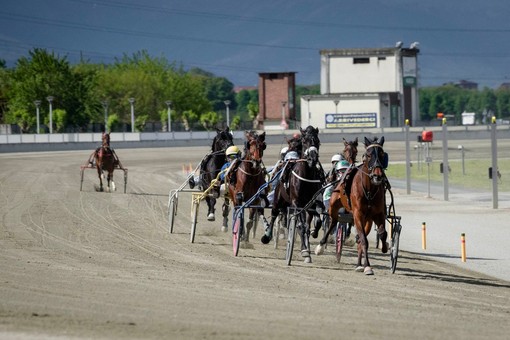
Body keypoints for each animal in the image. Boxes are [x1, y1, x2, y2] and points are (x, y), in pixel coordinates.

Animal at [262, 126, 322, 264]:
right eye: (304, 141)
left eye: (317, 141)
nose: (313, 159)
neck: (306, 177)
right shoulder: (296, 203)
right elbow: (300, 226)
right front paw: (305, 251)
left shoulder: (311, 203)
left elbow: (317, 221)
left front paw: (314, 233)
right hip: (278, 199)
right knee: (274, 214)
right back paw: (267, 237)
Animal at [320, 137, 388, 274]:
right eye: (368, 155)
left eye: (382, 154)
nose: (377, 175)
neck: (369, 190)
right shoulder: (357, 214)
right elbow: (364, 240)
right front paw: (368, 266)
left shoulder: (378, 214)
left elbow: (382, 233)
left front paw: (384, 247)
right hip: (334, 204)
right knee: (334, 221)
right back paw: (320, 245)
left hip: (367, 220)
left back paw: (359, 264)